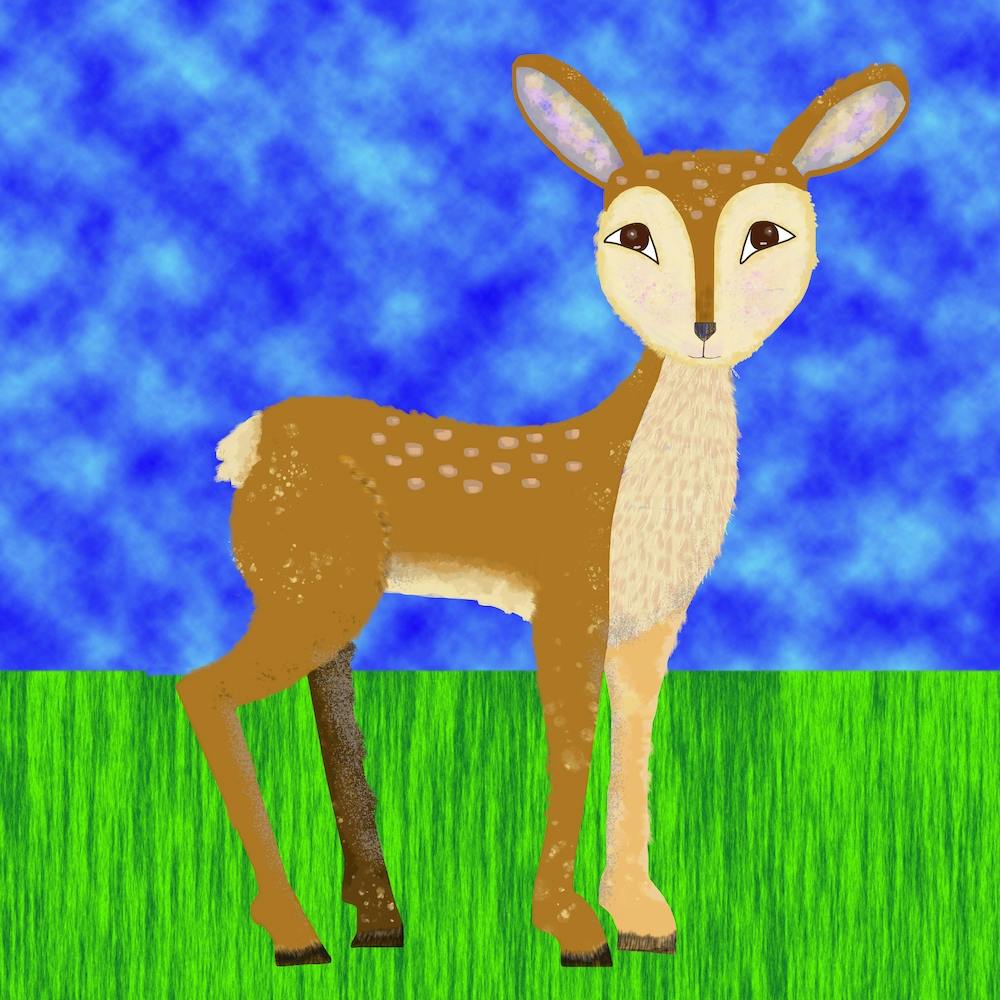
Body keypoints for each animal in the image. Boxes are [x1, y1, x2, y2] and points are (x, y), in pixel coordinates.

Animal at [177, 54, 909, 968]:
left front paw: (643, 918)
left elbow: (634, 749)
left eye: (769, 234)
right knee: (202, 689)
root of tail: (248, 443)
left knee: (324, 697)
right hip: (313, 585)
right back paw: (295, 932)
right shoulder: (568, 598)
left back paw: (375, 920)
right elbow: (571, 749)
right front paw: (572, 929)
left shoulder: (650, 627)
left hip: (324, 589)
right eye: (632, 236)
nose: (704, 326)